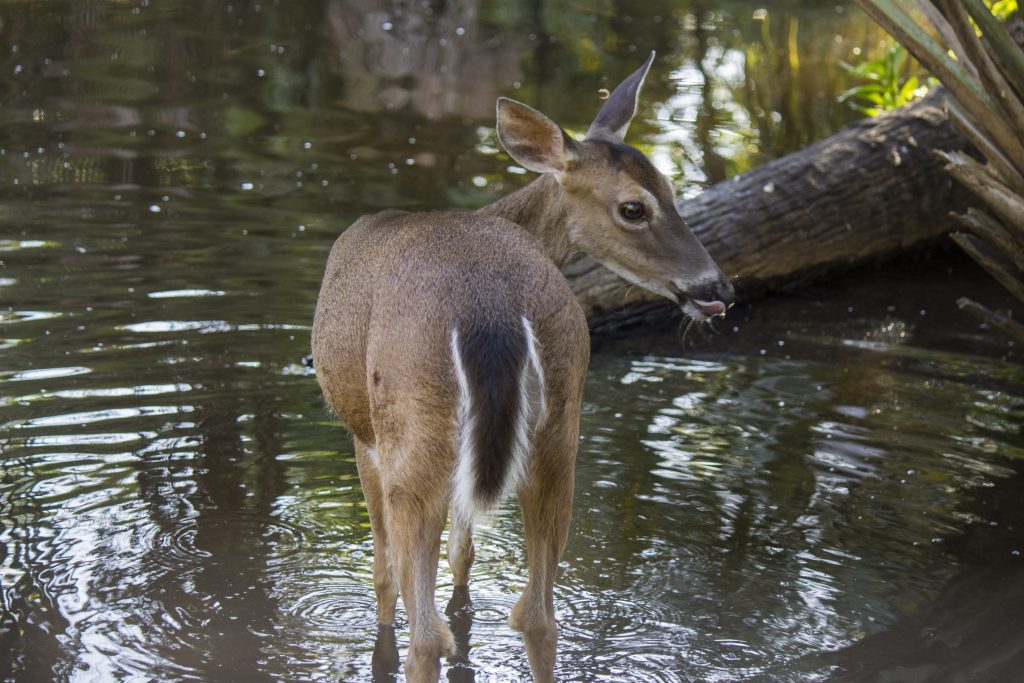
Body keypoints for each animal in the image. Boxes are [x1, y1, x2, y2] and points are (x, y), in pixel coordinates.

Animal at [311, 51, 734, 682]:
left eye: (672, 193)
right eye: (638, 205)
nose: (716, 288)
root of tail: (488, 308)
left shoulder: (361, 435)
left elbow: (384, 575)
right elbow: (464, 553)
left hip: (410, 425)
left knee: (425, 633)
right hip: (559, 422)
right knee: (536, 613)